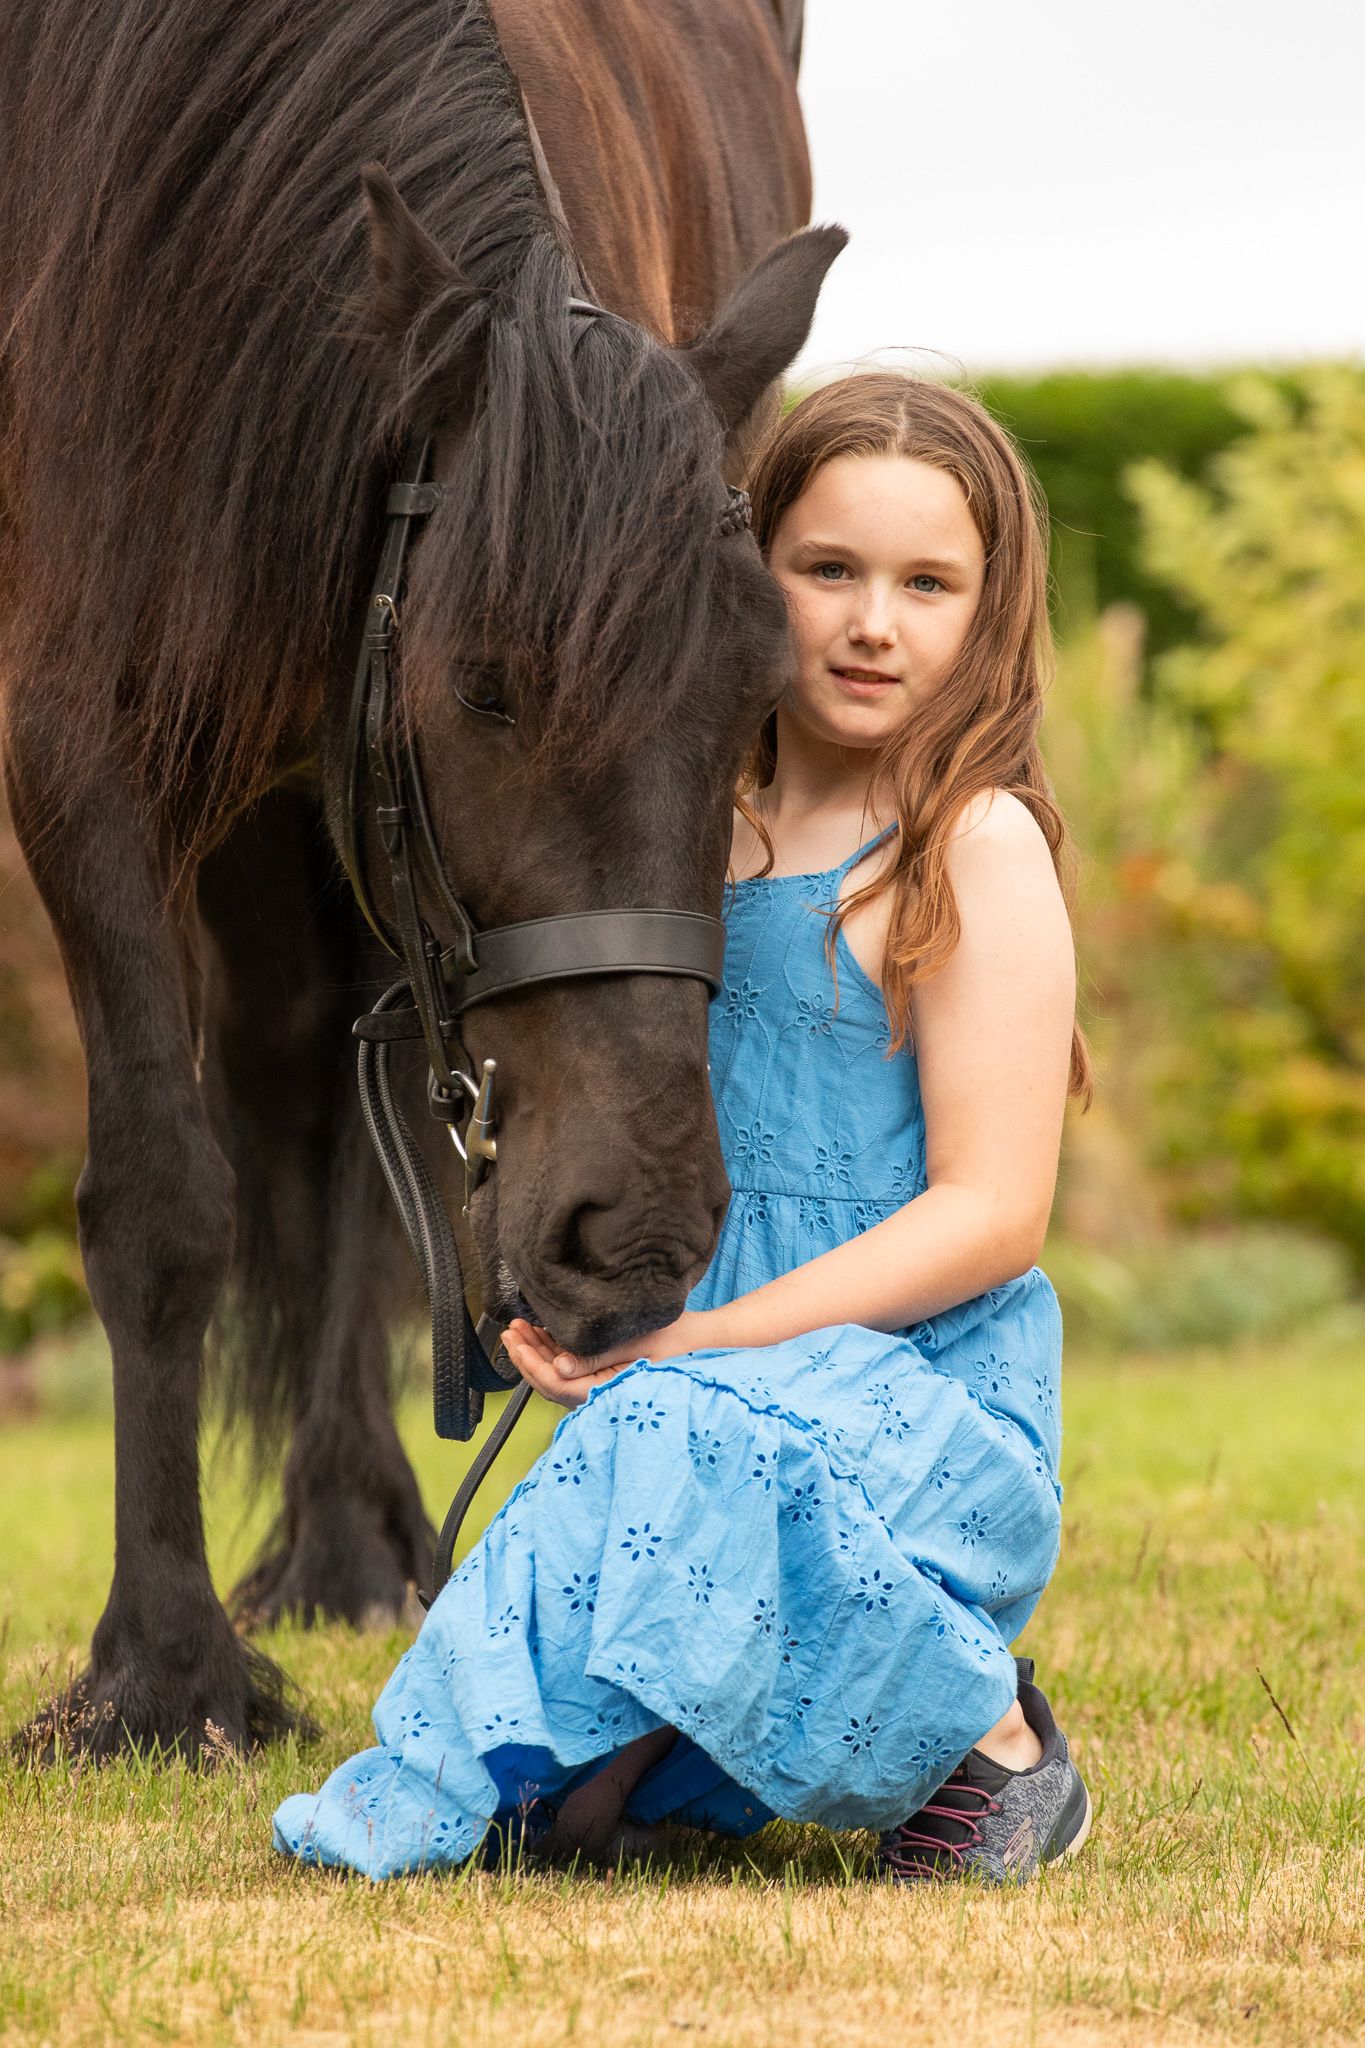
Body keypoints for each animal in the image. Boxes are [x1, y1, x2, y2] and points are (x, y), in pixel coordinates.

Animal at [0, 0, 843, 1759]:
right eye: (483, 686)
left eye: (759, 697)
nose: (635, 1234)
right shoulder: (76, 728)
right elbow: (165, 1198)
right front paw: (163, 1674)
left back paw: (346, 1538)